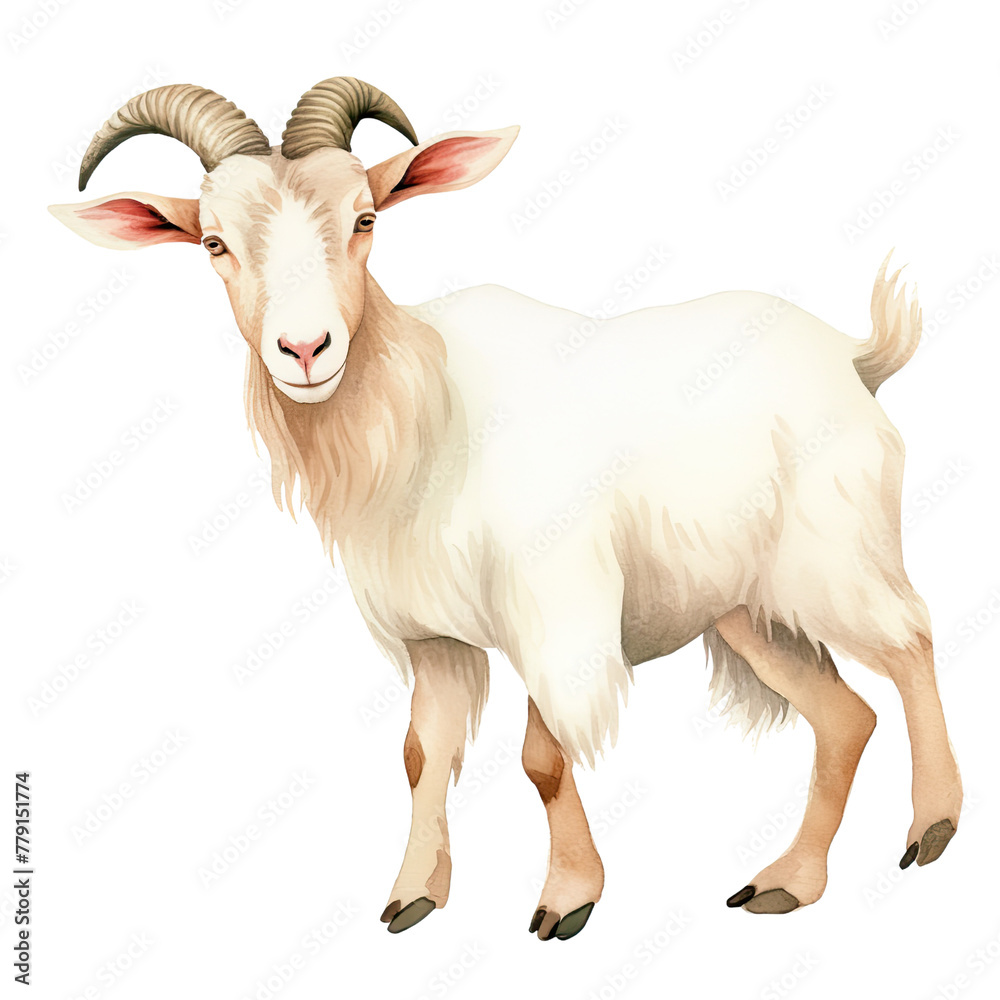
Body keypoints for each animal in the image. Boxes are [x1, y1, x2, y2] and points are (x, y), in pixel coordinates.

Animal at [50, 76, 962, 940]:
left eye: (364, 218)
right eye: (214, 242)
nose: (305, 350)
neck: (428, 415)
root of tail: (855, 357)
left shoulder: (556, 614)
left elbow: (543, 759)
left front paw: (567, 900)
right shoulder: (435, 638)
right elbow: (421, 754)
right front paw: (413, 896)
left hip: (835, 557)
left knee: (912, 639)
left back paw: (934, 829)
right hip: (744, 606)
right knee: (846, 717)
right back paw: (786, 883)